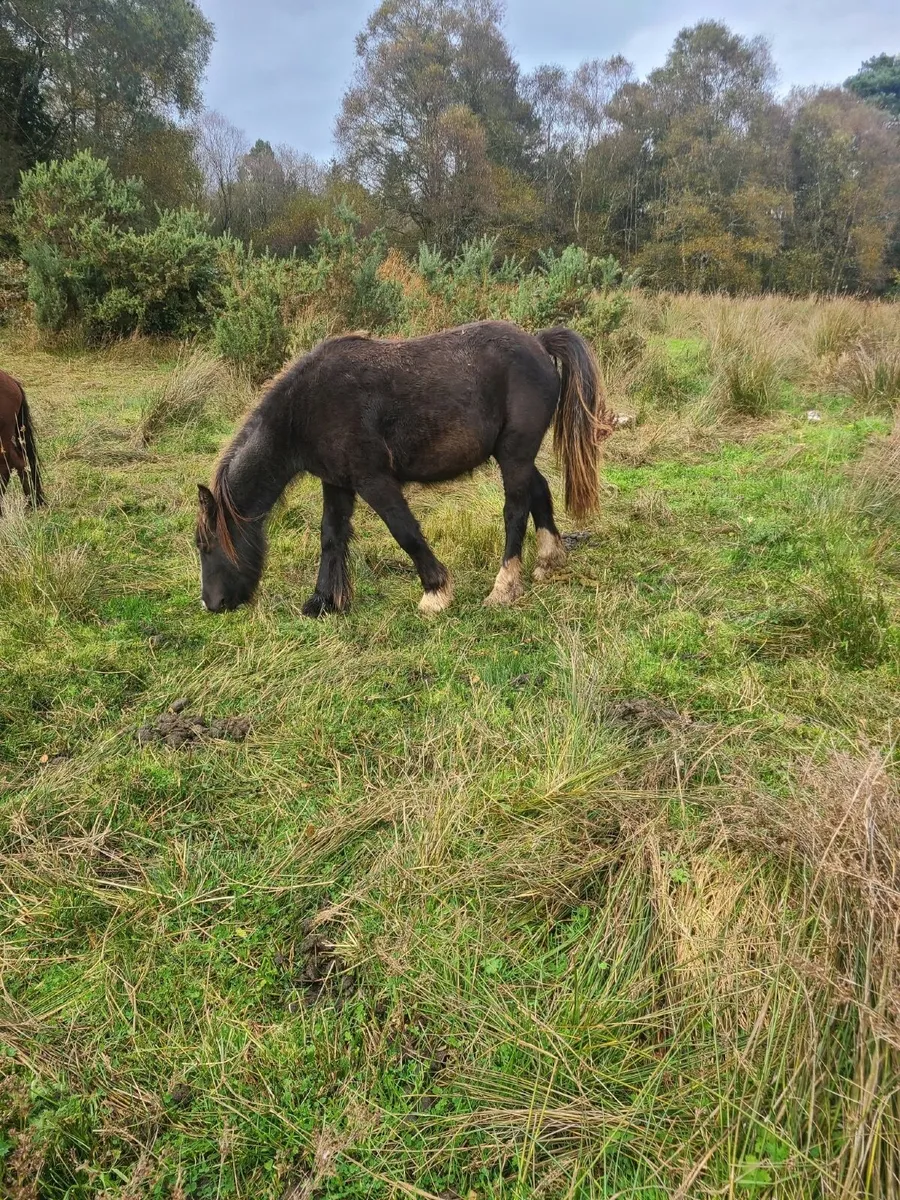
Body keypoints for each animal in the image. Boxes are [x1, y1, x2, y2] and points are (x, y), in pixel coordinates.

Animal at [195, 320, 612, 616]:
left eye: (207, 544)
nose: (212, 604)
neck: (305, 408)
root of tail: (538, 343)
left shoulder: (374, 480)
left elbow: (404, 530)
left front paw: (436, 592)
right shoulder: (337, 483)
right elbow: (331, 536)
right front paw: (324, 601)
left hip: (514, 455)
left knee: (515, 511)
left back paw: (504, 587)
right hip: (514, 455)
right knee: (538, 491)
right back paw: (548, 560)